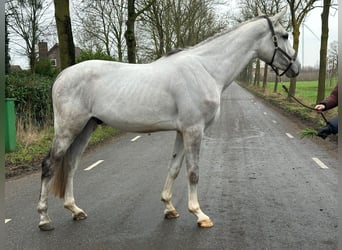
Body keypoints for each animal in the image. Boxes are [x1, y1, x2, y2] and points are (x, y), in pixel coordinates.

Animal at [36, 10, 300, 231]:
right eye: (285, 35)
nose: (296, 67)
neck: (205, 69)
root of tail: (62, 74)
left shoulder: (182, 131)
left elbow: (174, 168)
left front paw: (169, 208)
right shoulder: (194, 130)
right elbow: (193, 172)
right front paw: (200, 215)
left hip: (86, 127)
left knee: (70, 165)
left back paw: (75, 210)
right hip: (68, 128)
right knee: (50, 165)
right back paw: (44, 218)